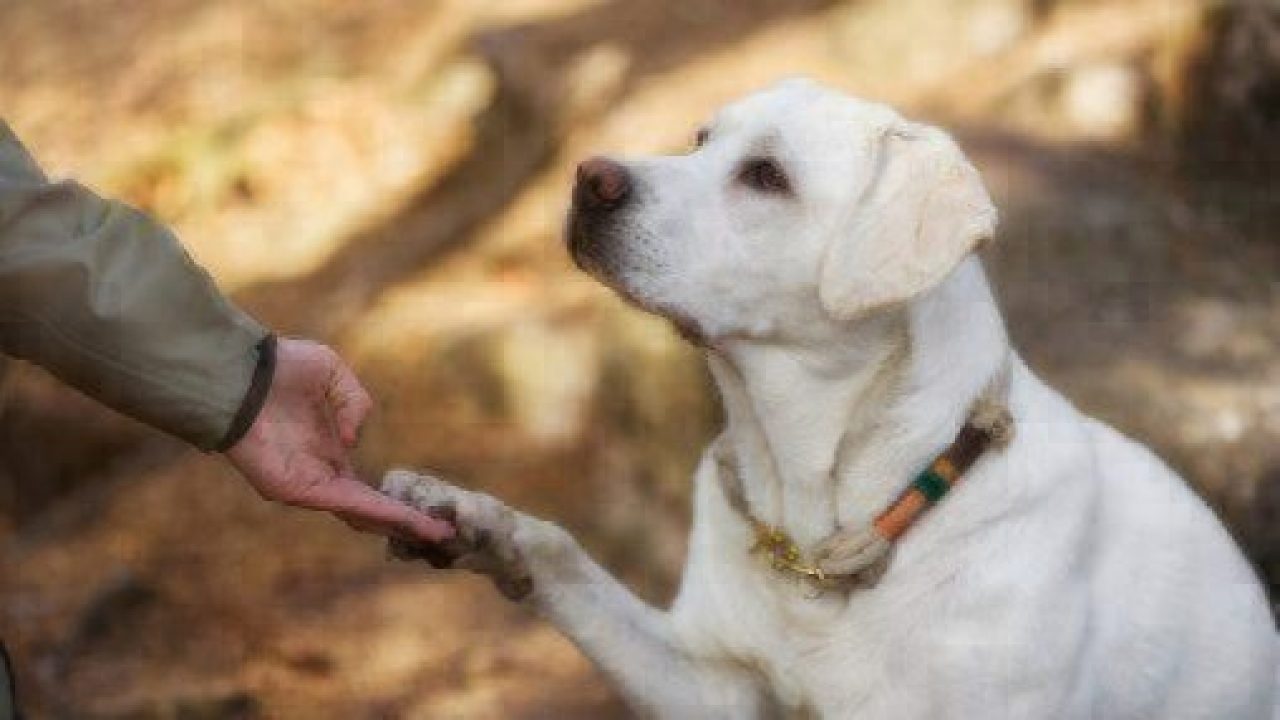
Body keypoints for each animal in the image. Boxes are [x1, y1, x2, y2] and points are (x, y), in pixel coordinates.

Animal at [381, 79, 1280, 717]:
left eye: (766, 176)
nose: (588, 177)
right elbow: (563, 554)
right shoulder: (708, 682)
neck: (823, 518)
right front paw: (470, 516)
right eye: (701, 139)